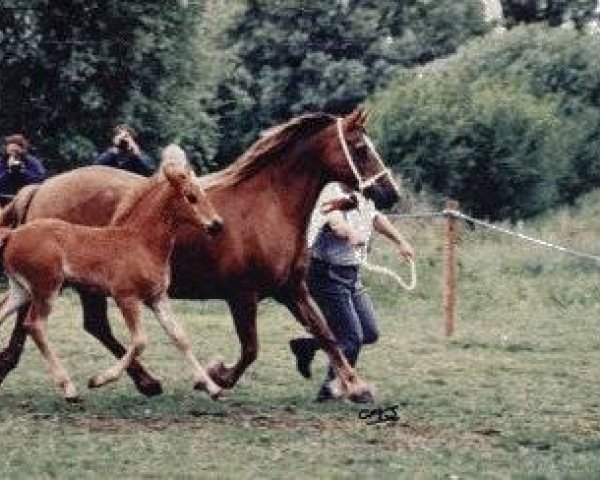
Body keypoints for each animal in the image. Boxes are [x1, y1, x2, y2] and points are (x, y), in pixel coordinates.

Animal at [0, 151, 224, 402]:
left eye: (203, 194)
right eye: (191, 197)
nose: (217, 225)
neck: (141, 241)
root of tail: (13, 234)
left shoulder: (157, 297)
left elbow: (179, 337)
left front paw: (213, 388)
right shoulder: (126, 297)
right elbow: (139, 341)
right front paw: (99, 380)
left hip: (21, 290)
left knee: (4, 312)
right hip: (46, 288)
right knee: (34, 325)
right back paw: (70, 389)